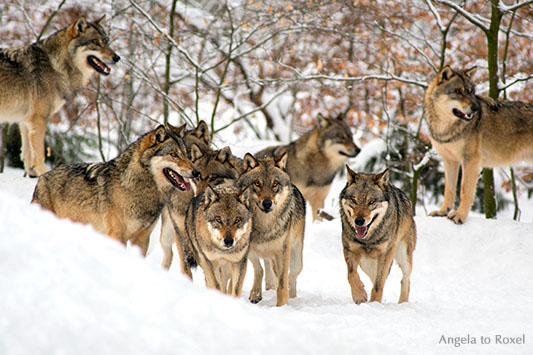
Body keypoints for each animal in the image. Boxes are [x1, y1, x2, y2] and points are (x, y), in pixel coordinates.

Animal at [0, 16, 120, 178]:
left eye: (107, 41)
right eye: (96, 42)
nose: (117, 57)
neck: (56, 65)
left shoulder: (25, 121)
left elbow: (27, 155)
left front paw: (33, 176)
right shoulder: (38, 119)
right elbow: (39, 155)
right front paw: (44, 173)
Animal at [236, 152, 304, 306]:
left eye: (275, 184)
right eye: (257, 183)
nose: (267, 203)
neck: (264, 226)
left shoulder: (283, 251)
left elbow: (282, 283)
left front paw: (282, 306)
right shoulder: (249, 249)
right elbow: (258, 269)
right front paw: (255, 294)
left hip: (296, 257)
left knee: (292, 276)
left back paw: (292, 297)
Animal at [338, 166, 418, 304]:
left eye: (371, 202)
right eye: (354, 200)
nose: (359, 221)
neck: (369, 239)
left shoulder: (386, 253)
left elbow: (378, 283)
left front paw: (375, 303)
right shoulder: (350, 249)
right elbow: (351, 274)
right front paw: (359, 295)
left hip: (403, 256)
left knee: (405, 279)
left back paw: (402, 303)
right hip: (366, 263)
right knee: (372, 277)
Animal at [424, 65, 532, 224]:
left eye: (471, 91)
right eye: (458, 91)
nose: (475, 108)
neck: (446, 128)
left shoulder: (471, 160)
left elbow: (465, 190)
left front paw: (460, 216)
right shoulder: (449, 160)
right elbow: (449, 190)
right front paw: (442, 212)